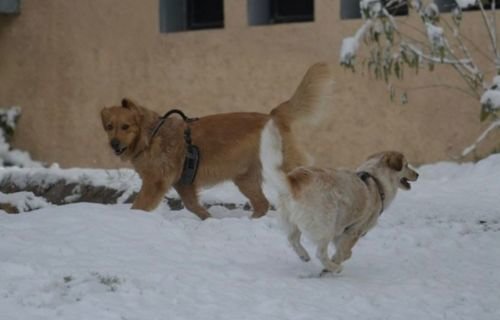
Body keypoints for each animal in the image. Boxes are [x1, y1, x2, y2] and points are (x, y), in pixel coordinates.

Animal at [100, 62, 332, 219]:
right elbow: (194, 206)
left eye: (125, 127)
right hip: (245, 179)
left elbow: (139, 205)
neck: (152, 134)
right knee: (262, 204)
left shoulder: (155, 182)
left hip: (281, 168)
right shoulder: (183, 184)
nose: (114, 144)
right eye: (109, 127)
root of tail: (273, 116)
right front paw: (209, 220)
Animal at [258, 120, 418, 276]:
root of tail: (294, 181)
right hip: (327, 225)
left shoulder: (342, 230)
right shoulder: (353, 230)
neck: (377, 181)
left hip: (293, 222)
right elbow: (345, 252)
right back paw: (334, 268)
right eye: (406, 165)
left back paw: (305, 256)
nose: (417, 174)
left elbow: (344, 251)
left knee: (292, 240)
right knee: (320, 253)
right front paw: (334, 263)